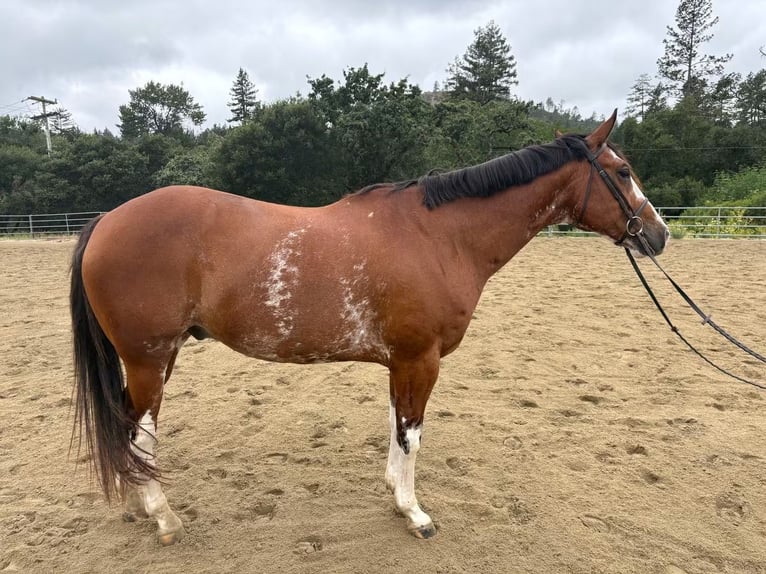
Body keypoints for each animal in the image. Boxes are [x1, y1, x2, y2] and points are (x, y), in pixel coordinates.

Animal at [70, 110, 669, 545]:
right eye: (621, 171)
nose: (658, 234)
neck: (441, 236)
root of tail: (106, 220)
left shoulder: (400, 361)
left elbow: (396, 426)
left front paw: (394, 493)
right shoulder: (420, 359)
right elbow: (412, 433)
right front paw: (414, 512)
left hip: (154, 358)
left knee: (126, 424)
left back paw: (135, 503)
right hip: (149, 358)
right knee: (140, 431)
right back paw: (163, 517)